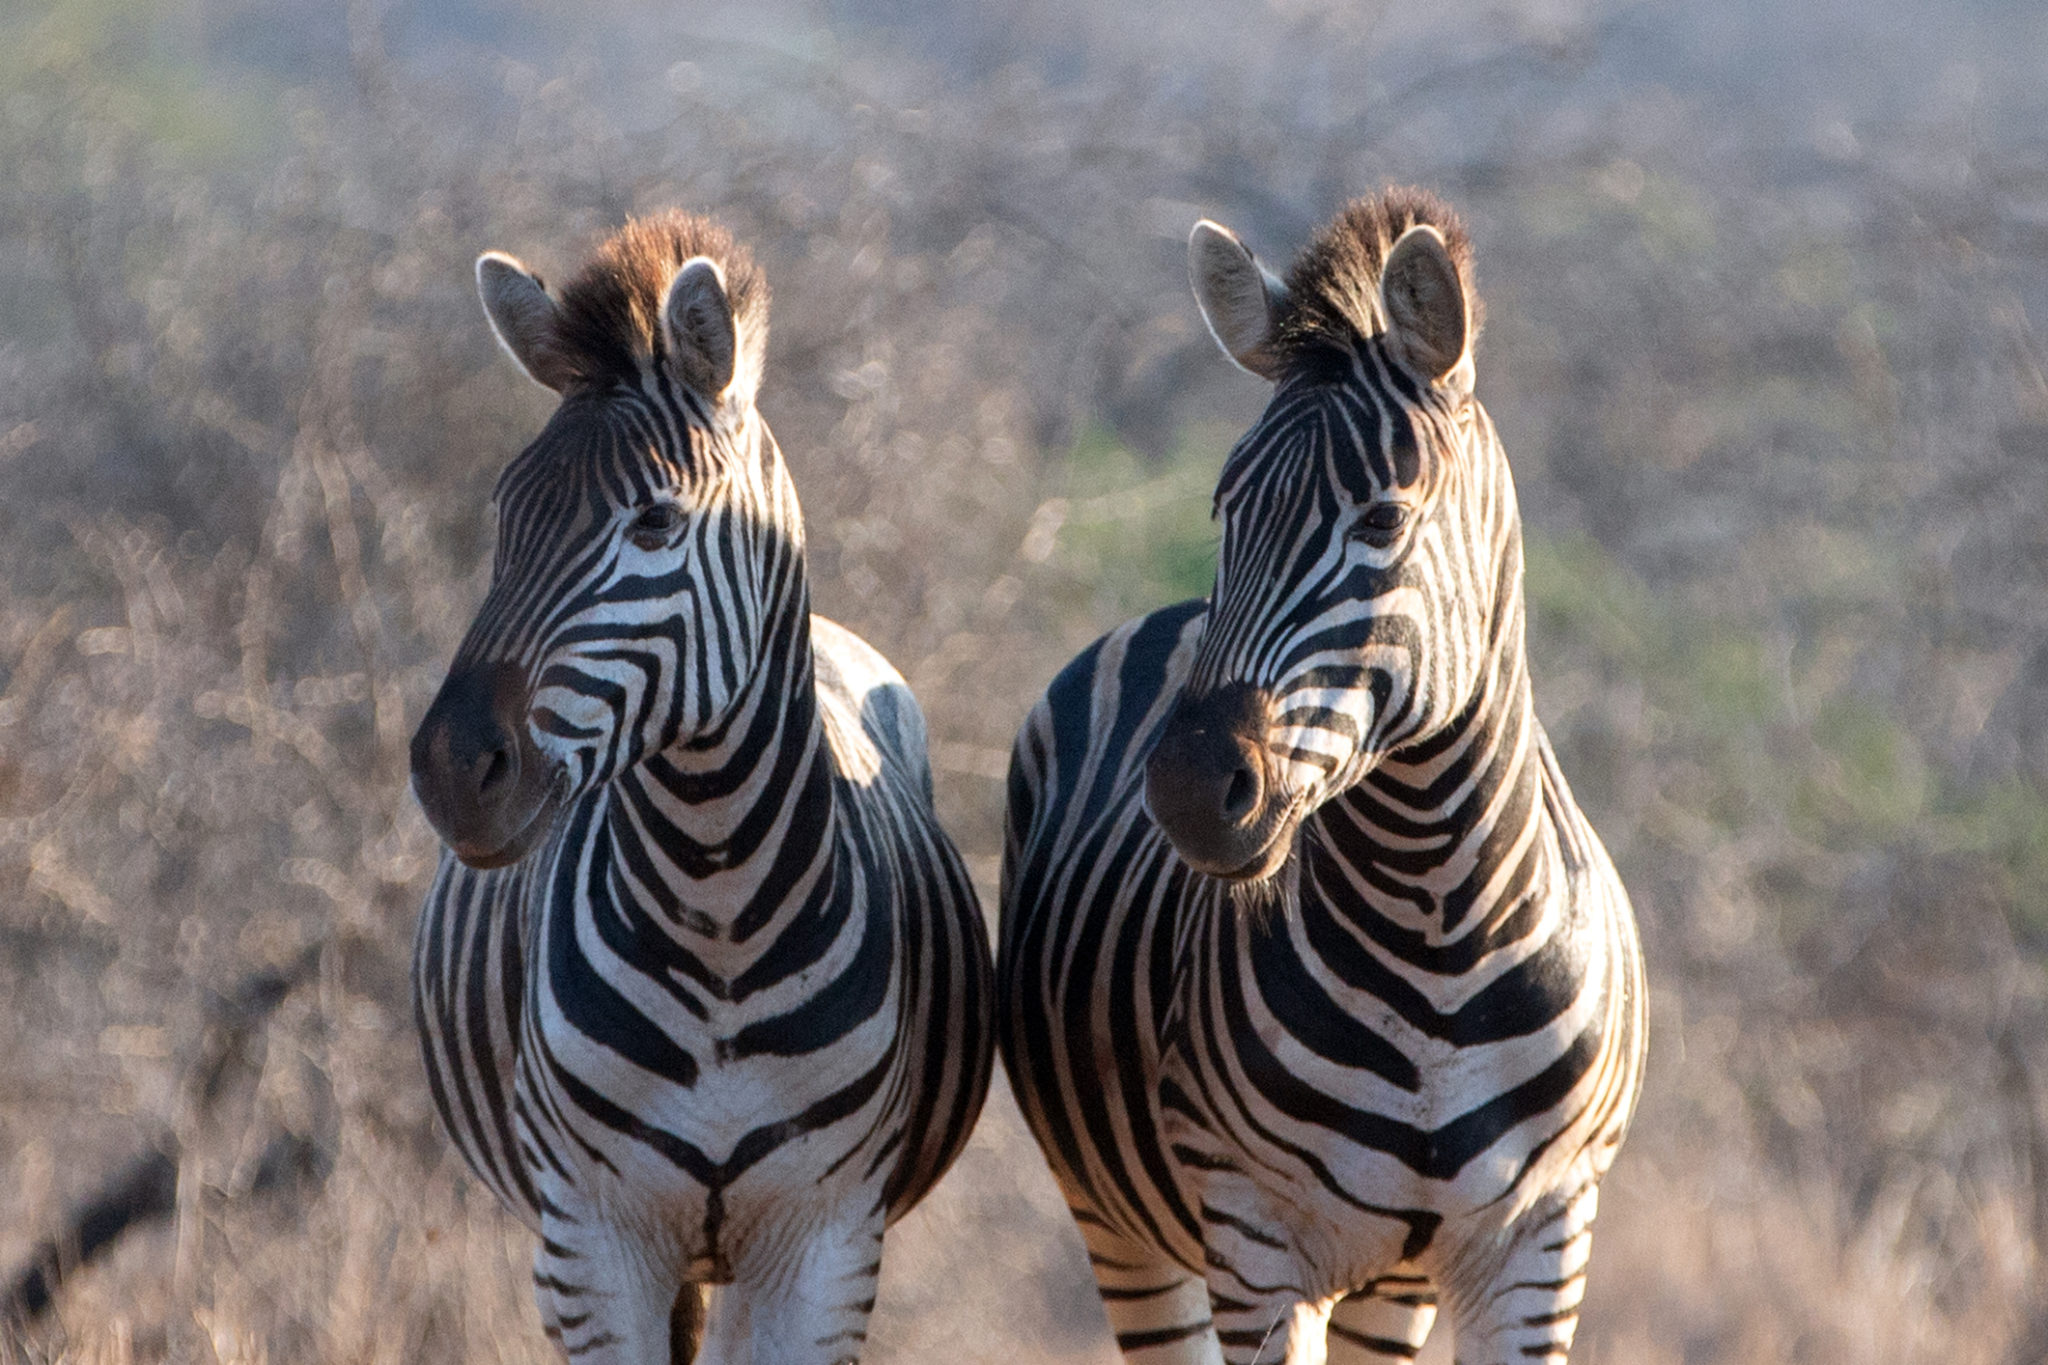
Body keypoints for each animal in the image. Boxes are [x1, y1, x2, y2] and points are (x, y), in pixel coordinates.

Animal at [403, 213, 995, 1365]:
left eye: (655, 525)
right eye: (504, 515)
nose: (453, 770)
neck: (716, 901)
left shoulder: (824, 1243)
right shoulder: (590, 1240)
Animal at [999, 189, 1654, 1365]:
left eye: (1383, 519)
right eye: (1223, 511)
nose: (1186, 788)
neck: (1437, 927)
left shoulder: (1541, 1241)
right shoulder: (1256, 1239)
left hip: (1394, 1283)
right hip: (1118, 1223)